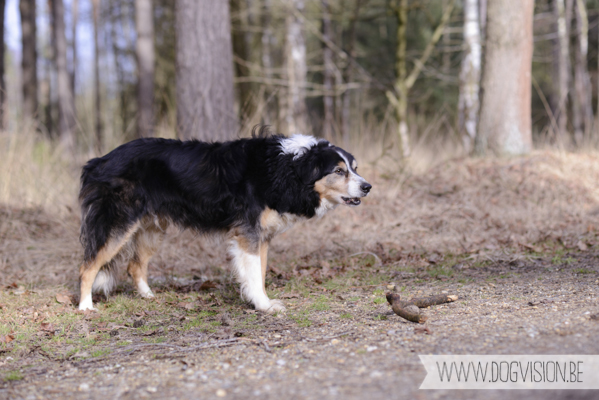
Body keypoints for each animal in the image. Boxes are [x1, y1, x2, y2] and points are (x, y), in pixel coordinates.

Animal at [78, 131, 372, 312]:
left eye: (355, 168)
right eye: (338, 171)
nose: (368, 187)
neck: (286, 168)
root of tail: (99, 161)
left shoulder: (262, 235)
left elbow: (260, 272)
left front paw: (258, 300)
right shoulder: (249, 233)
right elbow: (253, 271)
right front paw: (263, 305)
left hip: (152, 227)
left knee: (134, 266)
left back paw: (148, 297)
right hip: (117, 224)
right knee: (88, 266)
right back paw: (86, 307)